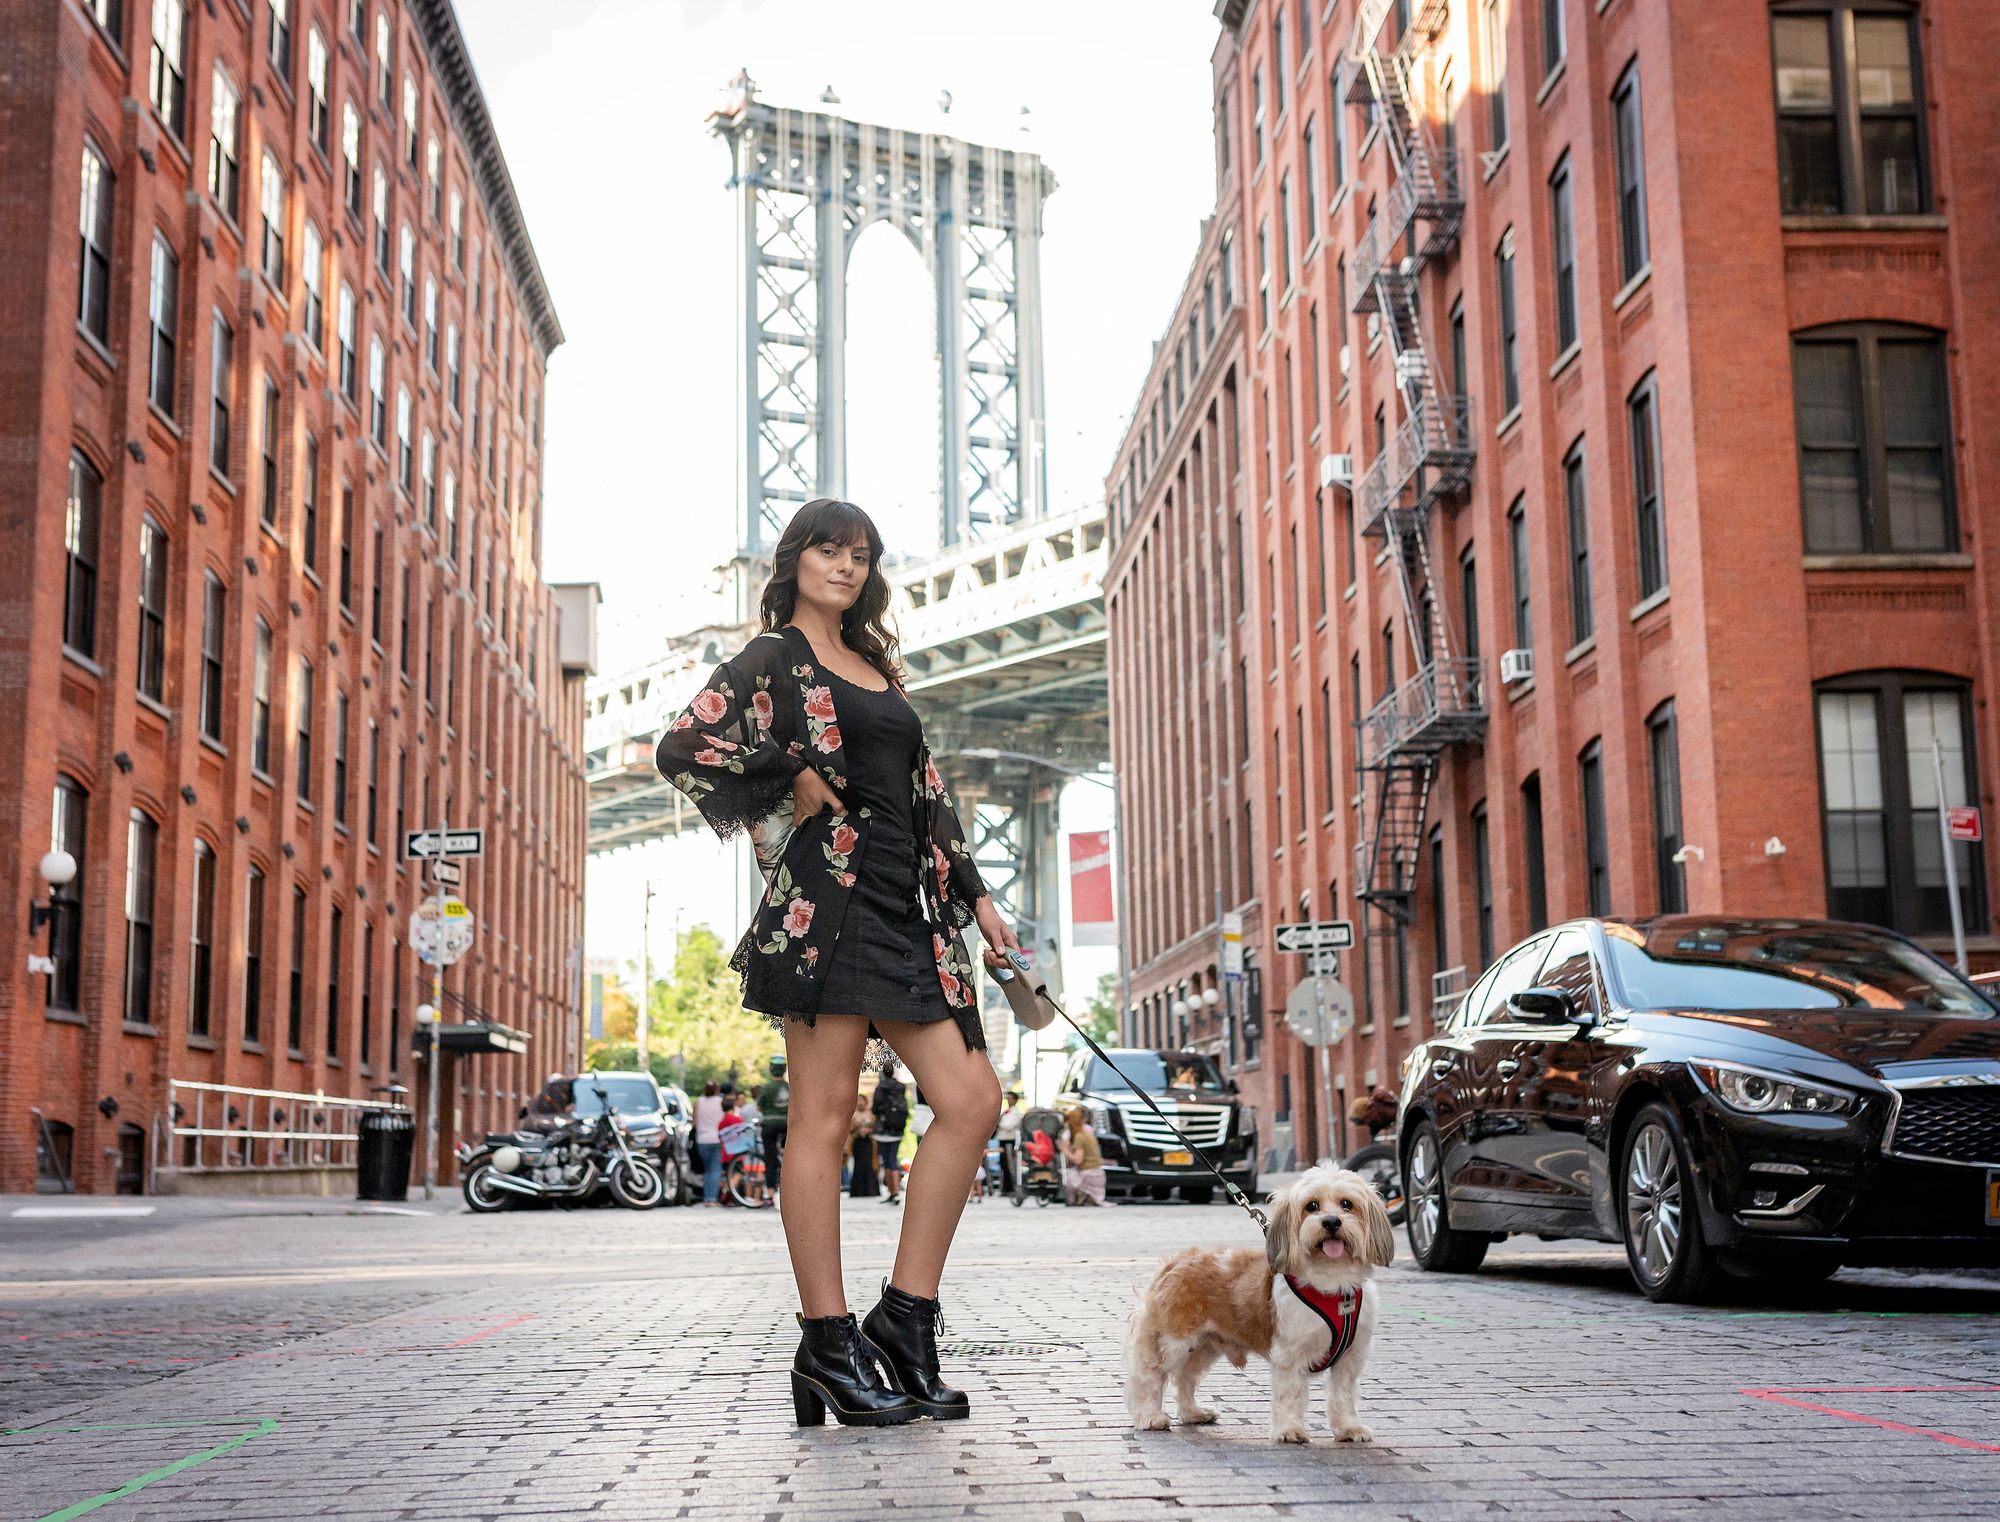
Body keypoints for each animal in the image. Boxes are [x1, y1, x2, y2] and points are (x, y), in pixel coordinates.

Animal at [1128, 1168, 1392, 1440]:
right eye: (1312, 1206)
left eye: (1347, 1204)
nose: (1331, 1221)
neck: (1332, 1283)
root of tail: (1175, 1261)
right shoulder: (1289, 1355)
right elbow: (1290, 1394)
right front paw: (1289, 1429)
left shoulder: (1350, 1358)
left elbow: (1343, 1396)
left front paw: (1349, 1427)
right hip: (1174, 1340)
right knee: (1151, 1375)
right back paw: (1150, 1416)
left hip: (1203, 1346)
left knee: (1185, 1377)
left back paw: (1192, 1413)